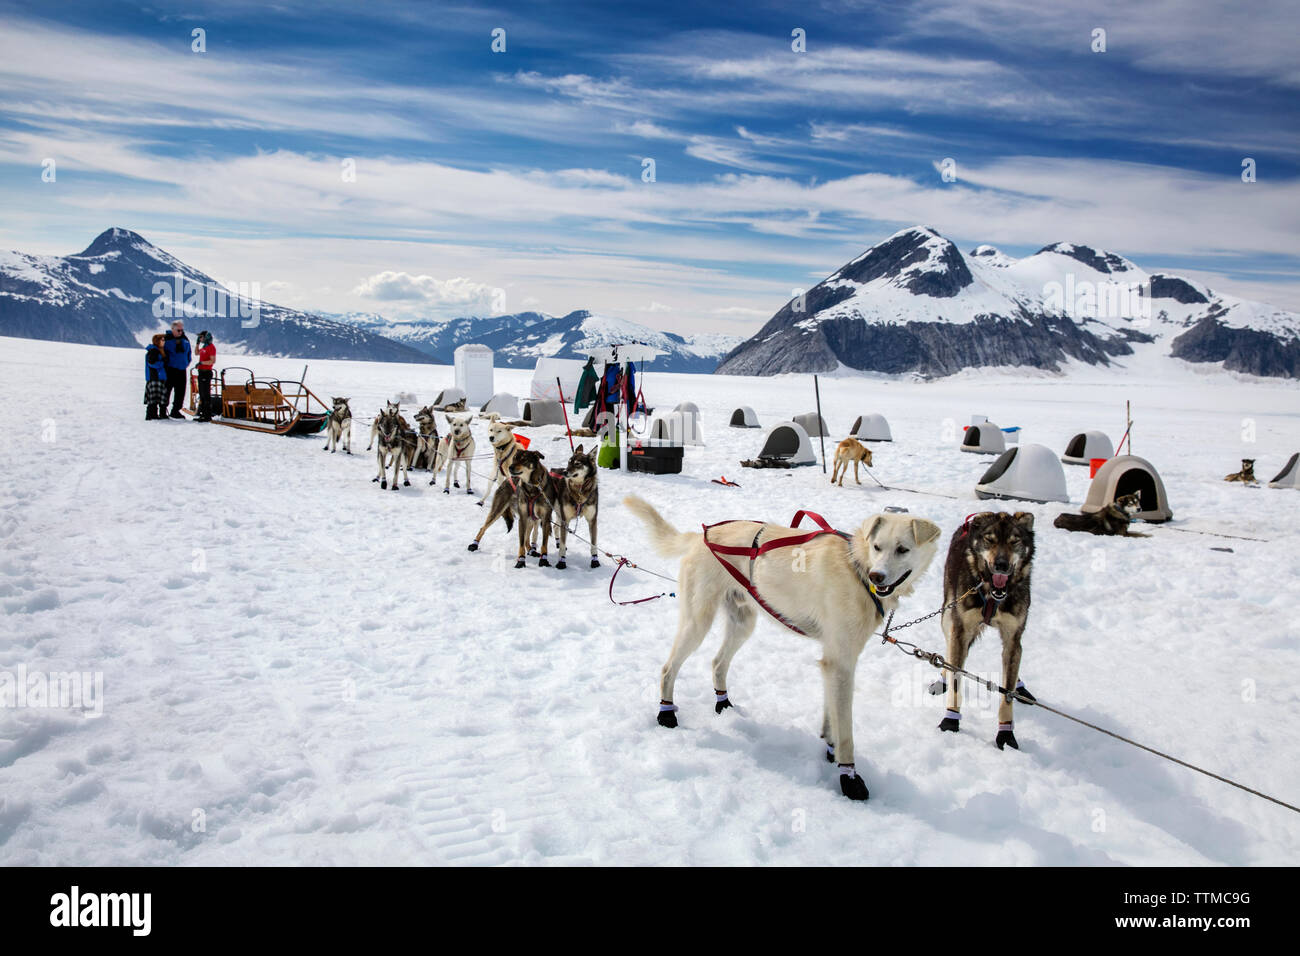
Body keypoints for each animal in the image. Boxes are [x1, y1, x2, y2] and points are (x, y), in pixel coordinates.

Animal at [624, 496, 941, 806]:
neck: (857, 568)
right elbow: (847, 731)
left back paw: (723, 703)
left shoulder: (834, 662)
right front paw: (849, 776)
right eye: (878, 547)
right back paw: (666, 712)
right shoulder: (841, 662)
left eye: (902, 549)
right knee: (668, 668)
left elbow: (831, 715)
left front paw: (829, 747)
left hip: (743, 623)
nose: (878, 577)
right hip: (697, 622)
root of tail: (701, 537)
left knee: (717, 663)